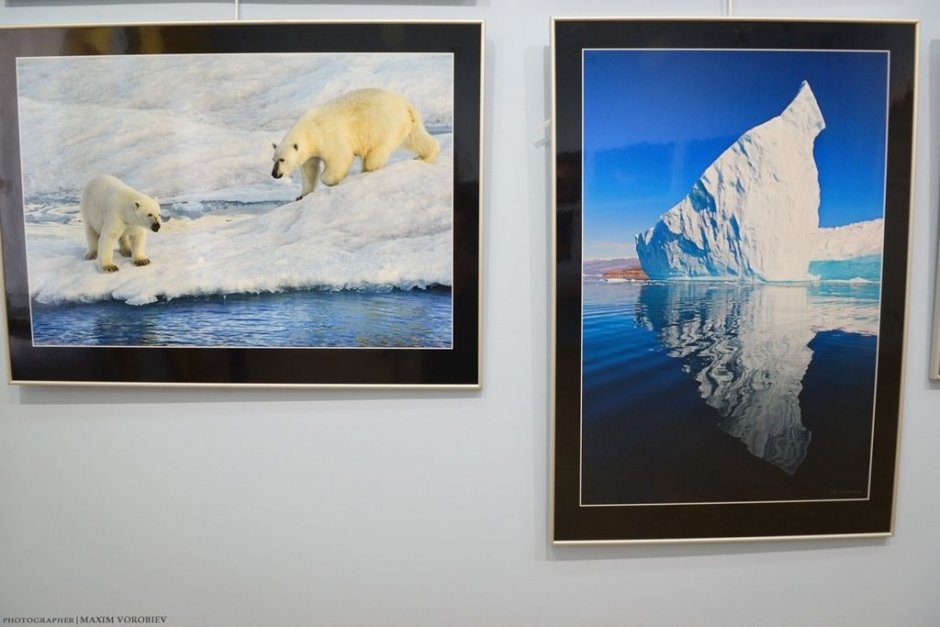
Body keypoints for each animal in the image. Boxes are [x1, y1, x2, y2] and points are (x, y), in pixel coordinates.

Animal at [268, 88, 436, 200]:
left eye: (282, 160)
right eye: (274, 159)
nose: (275, 174)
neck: (310, 130)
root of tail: (407, 105)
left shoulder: (330, 137)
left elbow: (339, 158)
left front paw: (333, 180)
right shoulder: (310, 151)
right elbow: (309, 169)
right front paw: (301, 195)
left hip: (383, 125)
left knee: (374, 155)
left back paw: (366, 170)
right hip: (406, 123)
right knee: (416, 138)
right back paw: (424, 155)